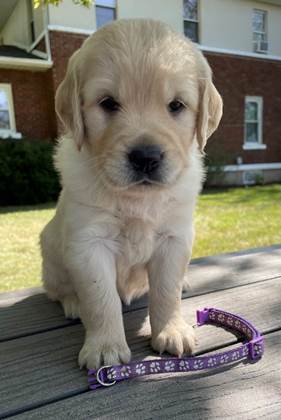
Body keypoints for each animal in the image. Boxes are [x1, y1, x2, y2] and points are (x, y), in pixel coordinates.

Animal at [40, 18, 222, 368]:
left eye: (176, 105)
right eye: (108, 103)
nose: (146, 157)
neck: (137, 200)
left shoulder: (174, 239)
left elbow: (166, 291)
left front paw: (171, 330)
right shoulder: (89, 244)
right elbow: (100, 299)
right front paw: (105, 347)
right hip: (50, 252)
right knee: (58, 290)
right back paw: (72, 302)